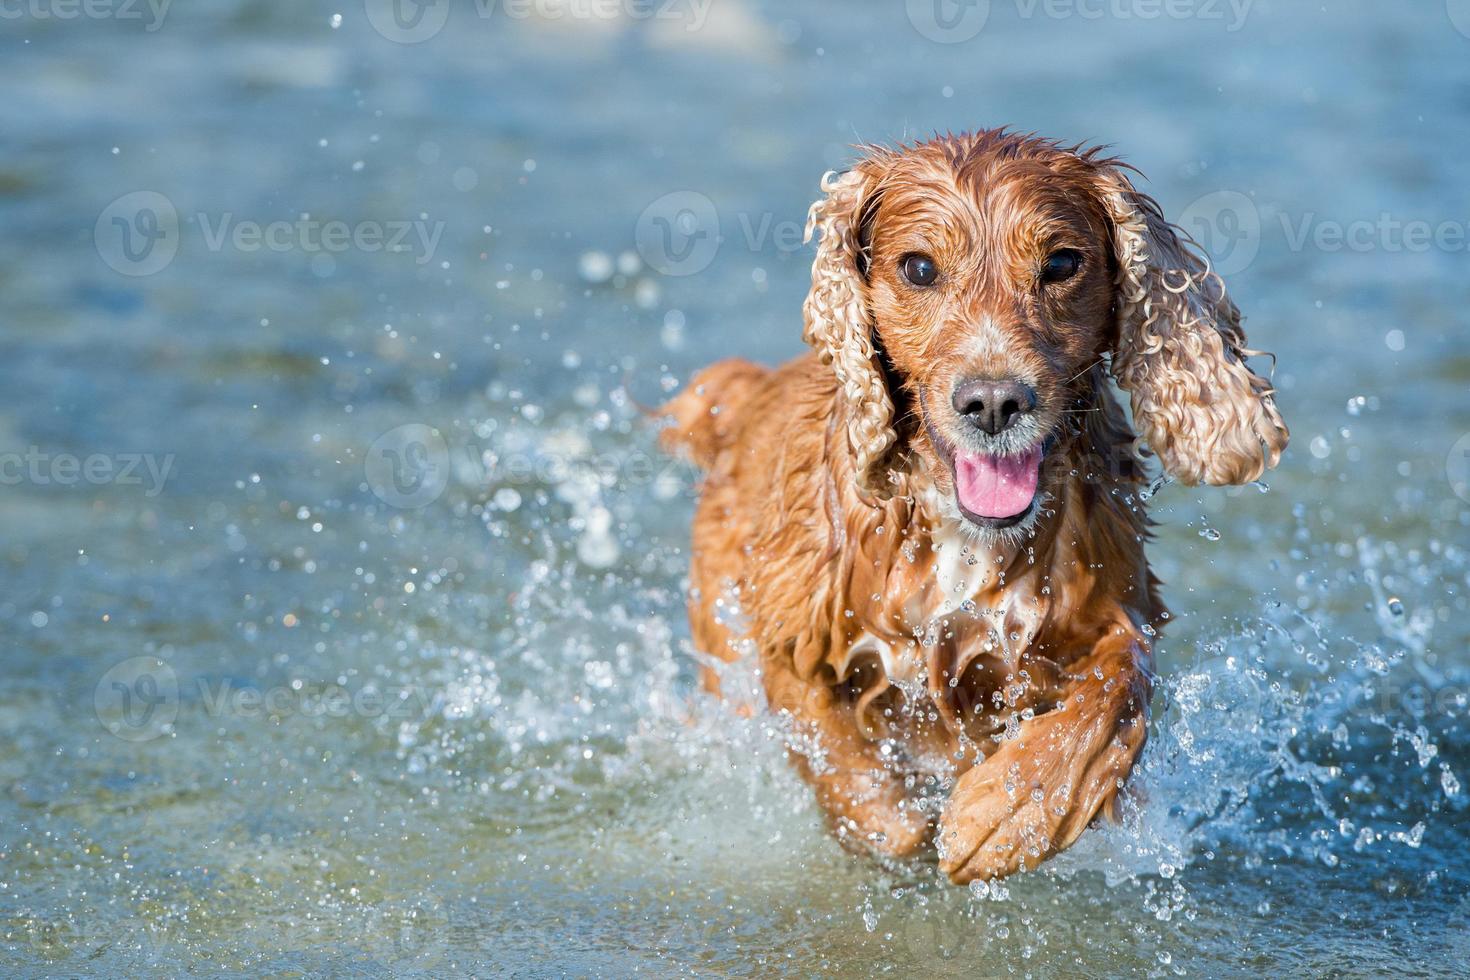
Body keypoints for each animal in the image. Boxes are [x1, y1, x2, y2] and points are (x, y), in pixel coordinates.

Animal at [658, 128, 1287, 881]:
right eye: (919, 267)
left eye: (1062, 262)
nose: (993, 401)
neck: (962, 534)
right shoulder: (790, 626)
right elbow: (840, 757)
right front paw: (896, 820)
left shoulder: (1114, 605)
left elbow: (1120, 683)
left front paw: (1009, 812)